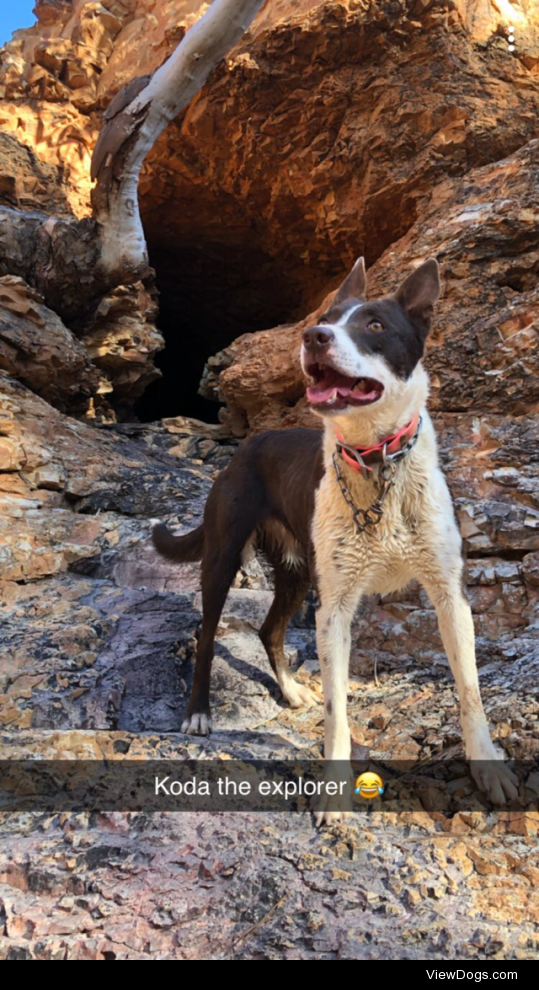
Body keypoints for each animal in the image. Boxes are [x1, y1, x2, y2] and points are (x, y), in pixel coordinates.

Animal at [153, 258, 520, 828]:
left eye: (375, 325)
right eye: (325, 320)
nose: (313, 337)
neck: (377, 462)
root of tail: (248, 444)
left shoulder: (449, 595)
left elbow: (469, 689)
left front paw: (489, 768)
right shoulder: (336, 609)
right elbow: (338, 710)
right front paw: (334, 793)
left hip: (298, 573)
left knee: (268, 629)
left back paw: (288, 689)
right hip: (224, 555)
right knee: (207, 632)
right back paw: (198, 713)